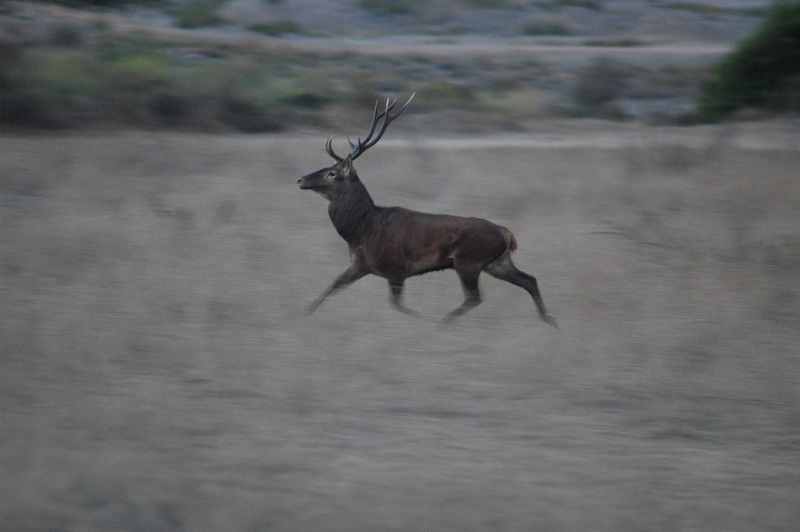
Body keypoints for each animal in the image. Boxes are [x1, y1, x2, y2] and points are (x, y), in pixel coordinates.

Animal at [296, 95, 560, 328]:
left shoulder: (396, 267)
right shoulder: (360, 265)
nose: (300, 179)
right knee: (529, 279)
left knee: (475, 297)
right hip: (497, 261)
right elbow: (331, 287)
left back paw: (442, 323)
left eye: (332, 173)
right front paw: (302, 315)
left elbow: (397, 304)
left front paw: (426, 319)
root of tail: (508, 234)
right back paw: (551, 321)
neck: (362, 231)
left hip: (469, 260)